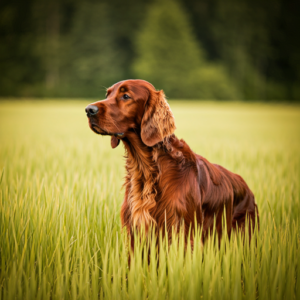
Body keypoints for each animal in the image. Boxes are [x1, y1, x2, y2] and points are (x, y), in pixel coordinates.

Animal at [84, 78, 258, 245]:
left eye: (126, 96)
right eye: (107, 95)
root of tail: (247, 187)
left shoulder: (181, 232)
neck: (149, 168)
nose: (88, 110)